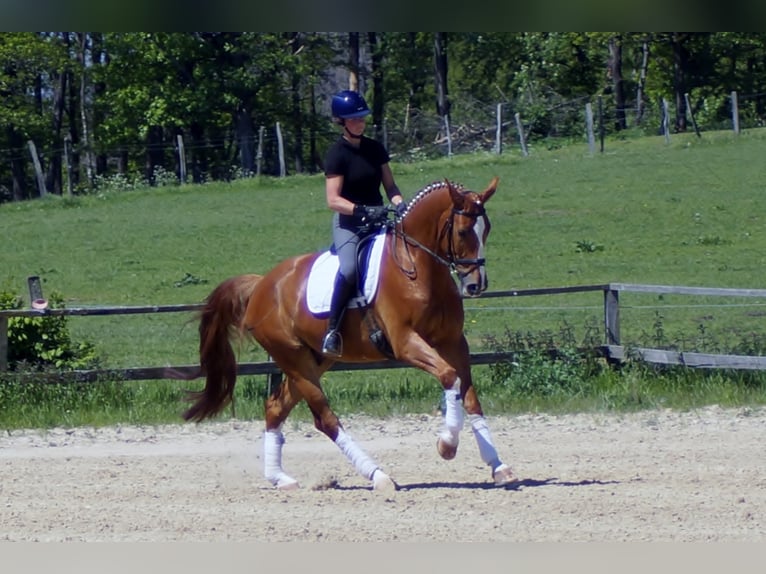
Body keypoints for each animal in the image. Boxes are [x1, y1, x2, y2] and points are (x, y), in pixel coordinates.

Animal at [182, 178, 516, 492]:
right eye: (462, 231)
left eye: (486, 229)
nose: (476, 285)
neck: (417, 268)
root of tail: (262, 284)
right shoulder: (405, 342)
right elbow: (449, 376)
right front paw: (447, 445)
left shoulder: (453, 342)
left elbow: (469, 395)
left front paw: (499, 466)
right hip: (293, 359)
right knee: (325, 420)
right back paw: (378, 476)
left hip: (312, 361)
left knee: (275, 408)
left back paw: (280, 478)